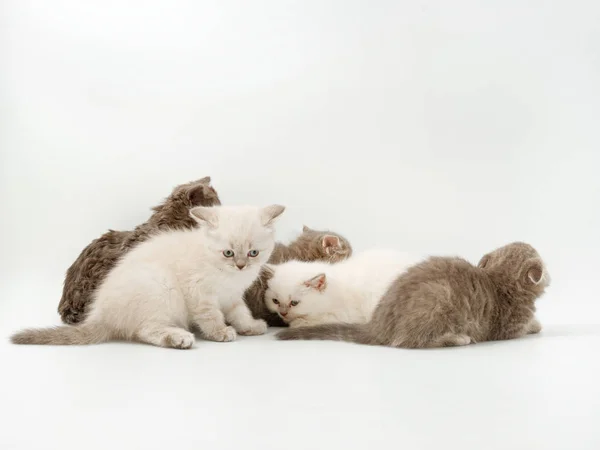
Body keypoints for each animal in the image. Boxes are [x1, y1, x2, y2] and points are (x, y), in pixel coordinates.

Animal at [12, 204, 286, 348]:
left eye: (253, 253)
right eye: (228, 253)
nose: (241, 266)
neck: (226, 276)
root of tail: (101, 315)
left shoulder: (231, 296)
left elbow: (240, 313)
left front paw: (250, 327)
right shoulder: (199, 292)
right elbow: (210, 316)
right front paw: (220, 332)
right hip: (162, 288)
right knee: (145, 330)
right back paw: (179, 338)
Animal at [276, 241, 548, 350]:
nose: (283, 312)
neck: (498, 279)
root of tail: (377, 325)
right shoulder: (509, 327)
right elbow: (524, 326)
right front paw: (536, 324)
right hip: (438, 300)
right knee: (408, 341)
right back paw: (456, 338)